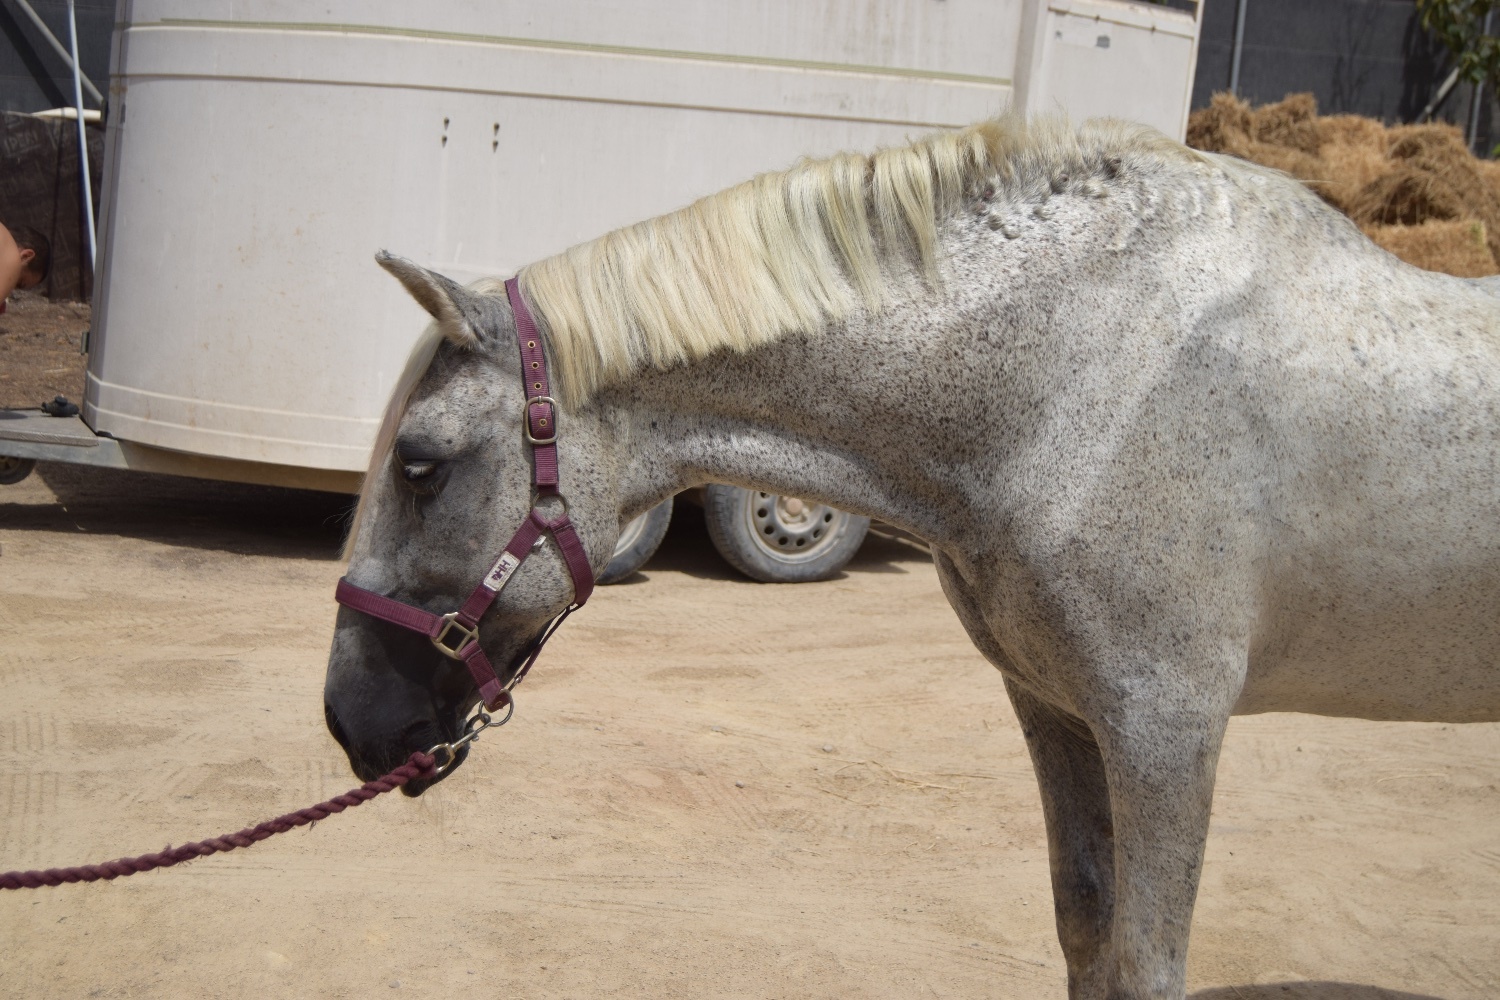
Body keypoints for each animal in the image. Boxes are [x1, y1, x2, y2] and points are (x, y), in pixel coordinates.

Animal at [322, 114, 1500, 999]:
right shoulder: (1060, 709)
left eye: (420, 464)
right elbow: (1086, 928)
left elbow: (1146, 960)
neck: (1087, 376)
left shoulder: (1168, 728)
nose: (349, 720)